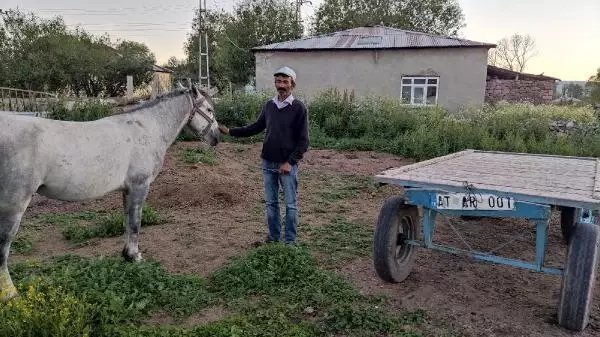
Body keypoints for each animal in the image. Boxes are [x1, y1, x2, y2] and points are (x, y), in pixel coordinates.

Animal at [0, 84, 220, 300]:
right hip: (14, 205)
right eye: (209, 110)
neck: (147, 129)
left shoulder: (127, 190)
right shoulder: (139, 186)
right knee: (4, 246)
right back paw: (11, 294)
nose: (217, 137)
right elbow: (135, 223)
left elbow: (127, 221)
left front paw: (127, 254)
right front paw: (135, 256)